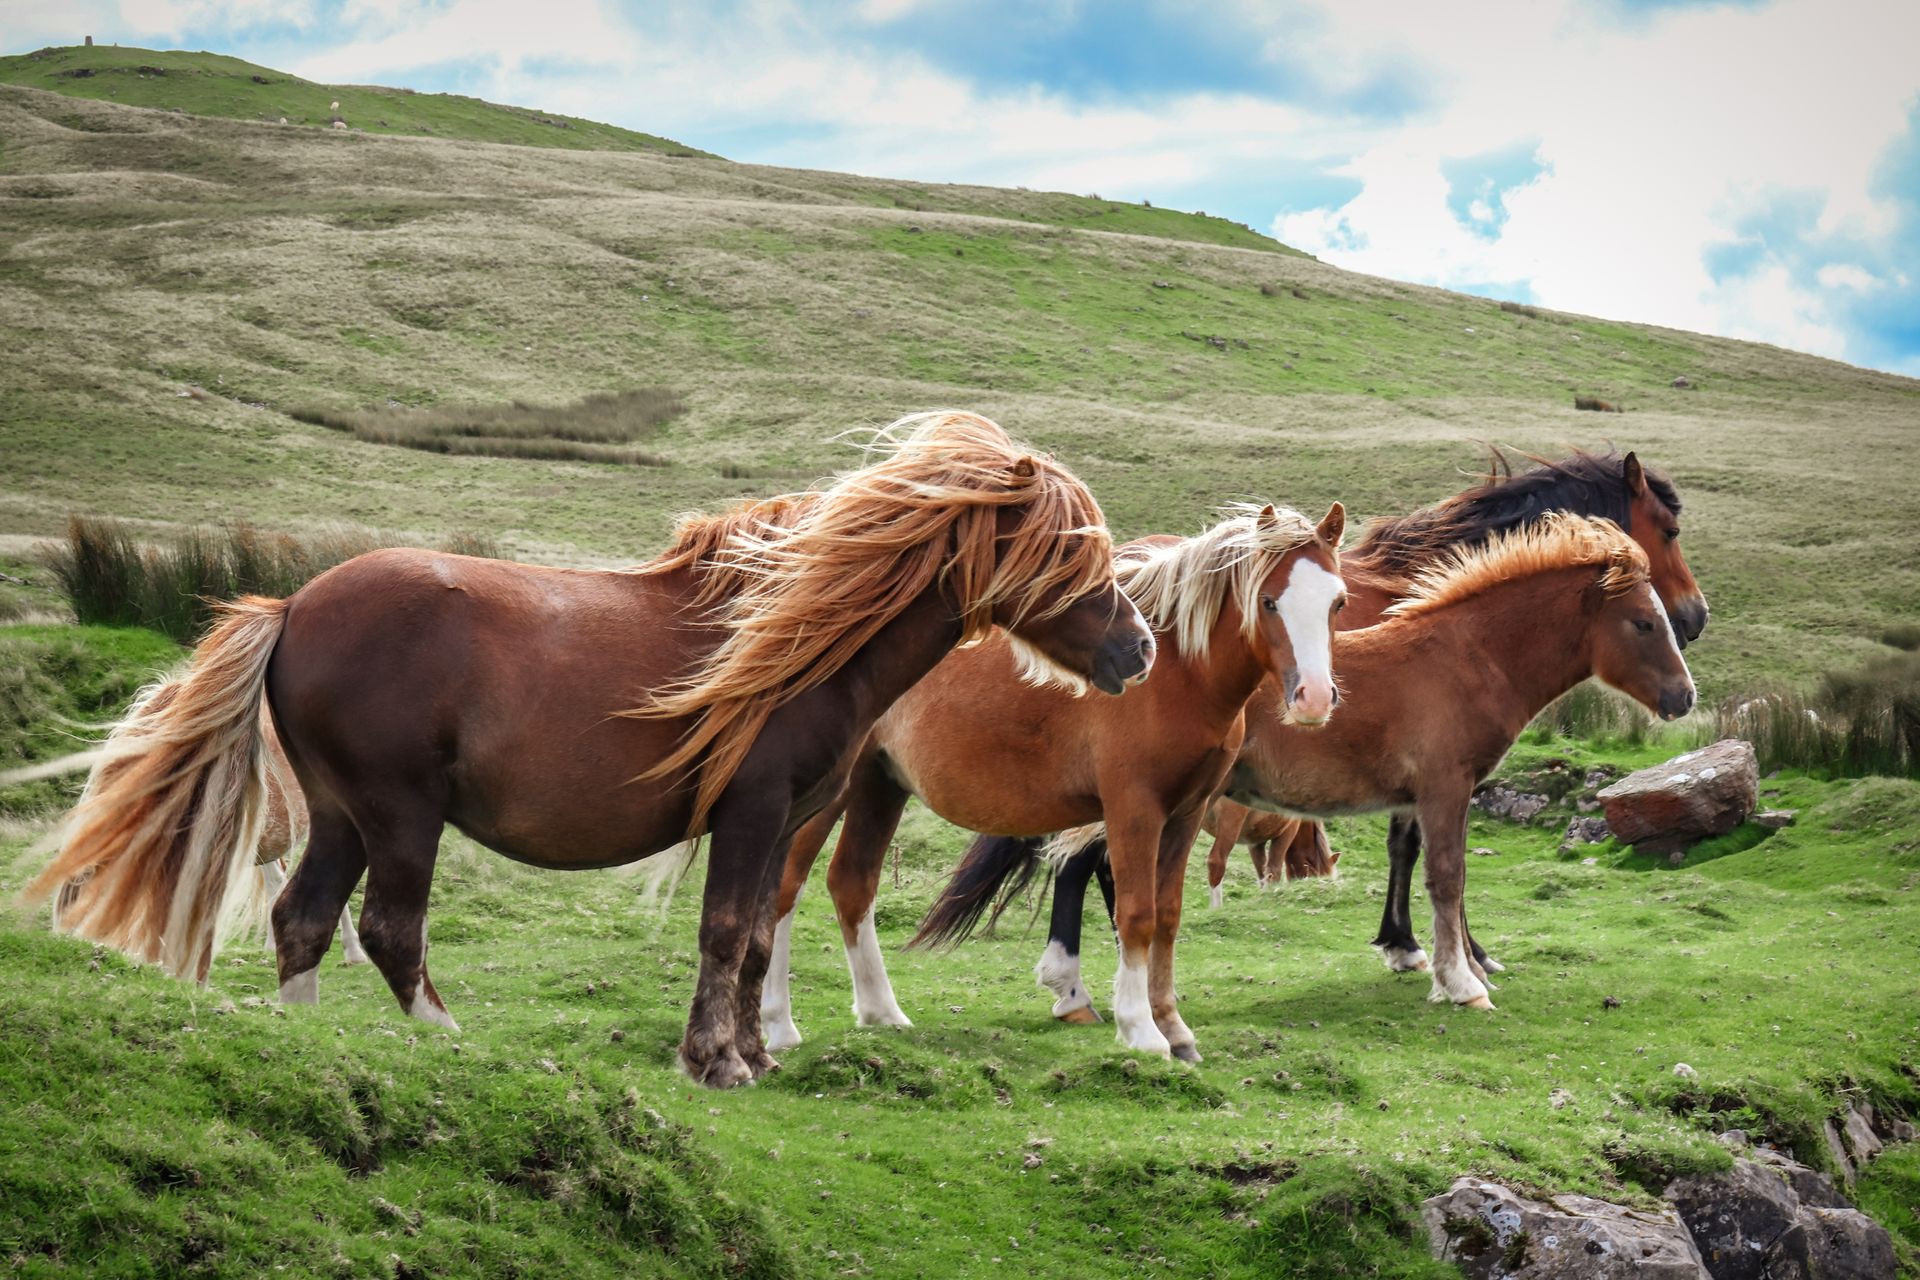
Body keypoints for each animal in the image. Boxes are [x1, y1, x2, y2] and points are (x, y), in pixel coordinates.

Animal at [23, 411, 1155, 1089]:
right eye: (1077, 553)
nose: (1141, 648)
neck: (793, 640)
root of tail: (292, 604)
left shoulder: (785, 819)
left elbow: (753, 941)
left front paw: (752, 1053)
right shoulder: (749, 812)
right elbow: (725, 933)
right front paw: (717, 1062)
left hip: (344, 815)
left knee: (303, 920)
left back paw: (309, 1042)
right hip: (399, 814)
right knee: (388, 929)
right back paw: (442, 1038)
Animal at [756, 502, 1348, 1062]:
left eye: (1337, 602)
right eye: (1268, 601)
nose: (1315, 698)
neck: (1176, 672)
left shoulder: (1185, 814)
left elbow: (1168, 917)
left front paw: (1173, 1028)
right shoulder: (1133, 810)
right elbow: (1136, 915)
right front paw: (1141, 1030)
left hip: (878, 786)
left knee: (851, 883)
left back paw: (882, 1013)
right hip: (829, 797)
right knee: (785, 889)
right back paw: (778, 1026)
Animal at [940, 514, 1695, 1015]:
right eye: (1643, 622)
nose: (1684, 697)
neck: (1465, 656)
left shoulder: (1419, 797)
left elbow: (1424, 870)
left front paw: (1425, 956)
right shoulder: (1446, 788)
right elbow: (1448, 878)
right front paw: (1462, 983)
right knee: (1080, 864)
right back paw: (1075, 990)